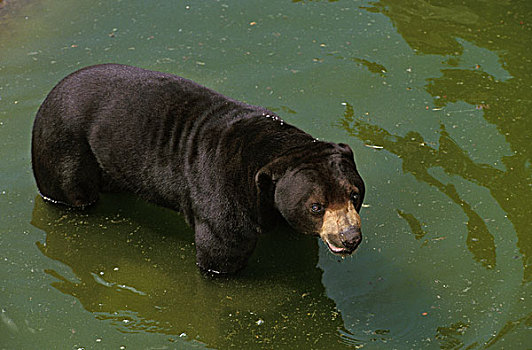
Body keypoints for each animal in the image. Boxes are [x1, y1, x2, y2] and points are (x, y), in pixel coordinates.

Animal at [32, 64, 366, 274]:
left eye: (354, 194)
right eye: (316, 206)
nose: (350, 237)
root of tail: (49, 95)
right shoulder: (223, 197)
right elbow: (220, 253)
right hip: (64, 147)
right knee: (71, 192)